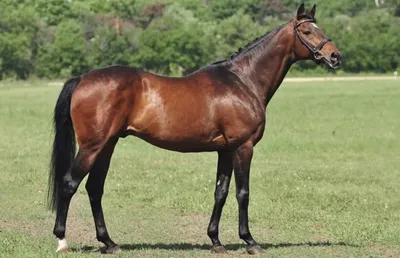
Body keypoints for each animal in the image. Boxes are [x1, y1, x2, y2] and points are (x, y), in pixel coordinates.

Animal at [47, 3, 340, 254]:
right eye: (306, 31)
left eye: (319, 28)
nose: (335, 56)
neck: (243, 81)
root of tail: (83, 78)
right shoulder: (243, 147)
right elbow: (242, 193)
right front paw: (250, 241)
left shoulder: (225, 150)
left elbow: (220, 192)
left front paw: (216, 241)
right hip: (92, 147)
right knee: (69, 184)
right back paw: (62, 242)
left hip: (107, 145)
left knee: (94, 188)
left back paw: (109, 242)